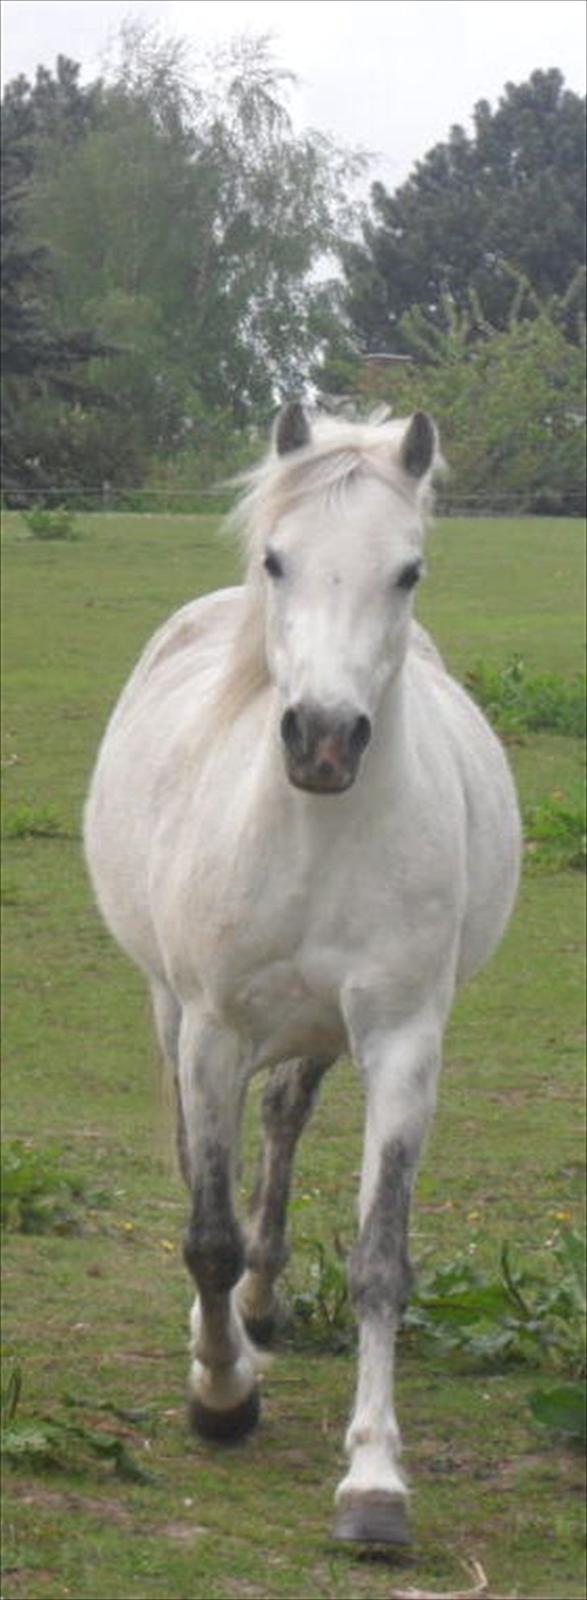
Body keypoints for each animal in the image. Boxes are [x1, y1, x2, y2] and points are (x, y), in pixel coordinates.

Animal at [84, 403, 521, 1547]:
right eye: (275, 559)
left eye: (407, 571)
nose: (322, 740)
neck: (315, 831)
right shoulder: (210, 1029)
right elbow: (206, 1234)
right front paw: (221, 1398)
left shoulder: (402, 1040)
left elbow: (378, 1260)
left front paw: (373, 1480)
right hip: (174, 1011)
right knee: (217, 1166)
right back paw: (227, 1336)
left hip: (323, 1033)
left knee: (282, 1123)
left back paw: (264, 1306)